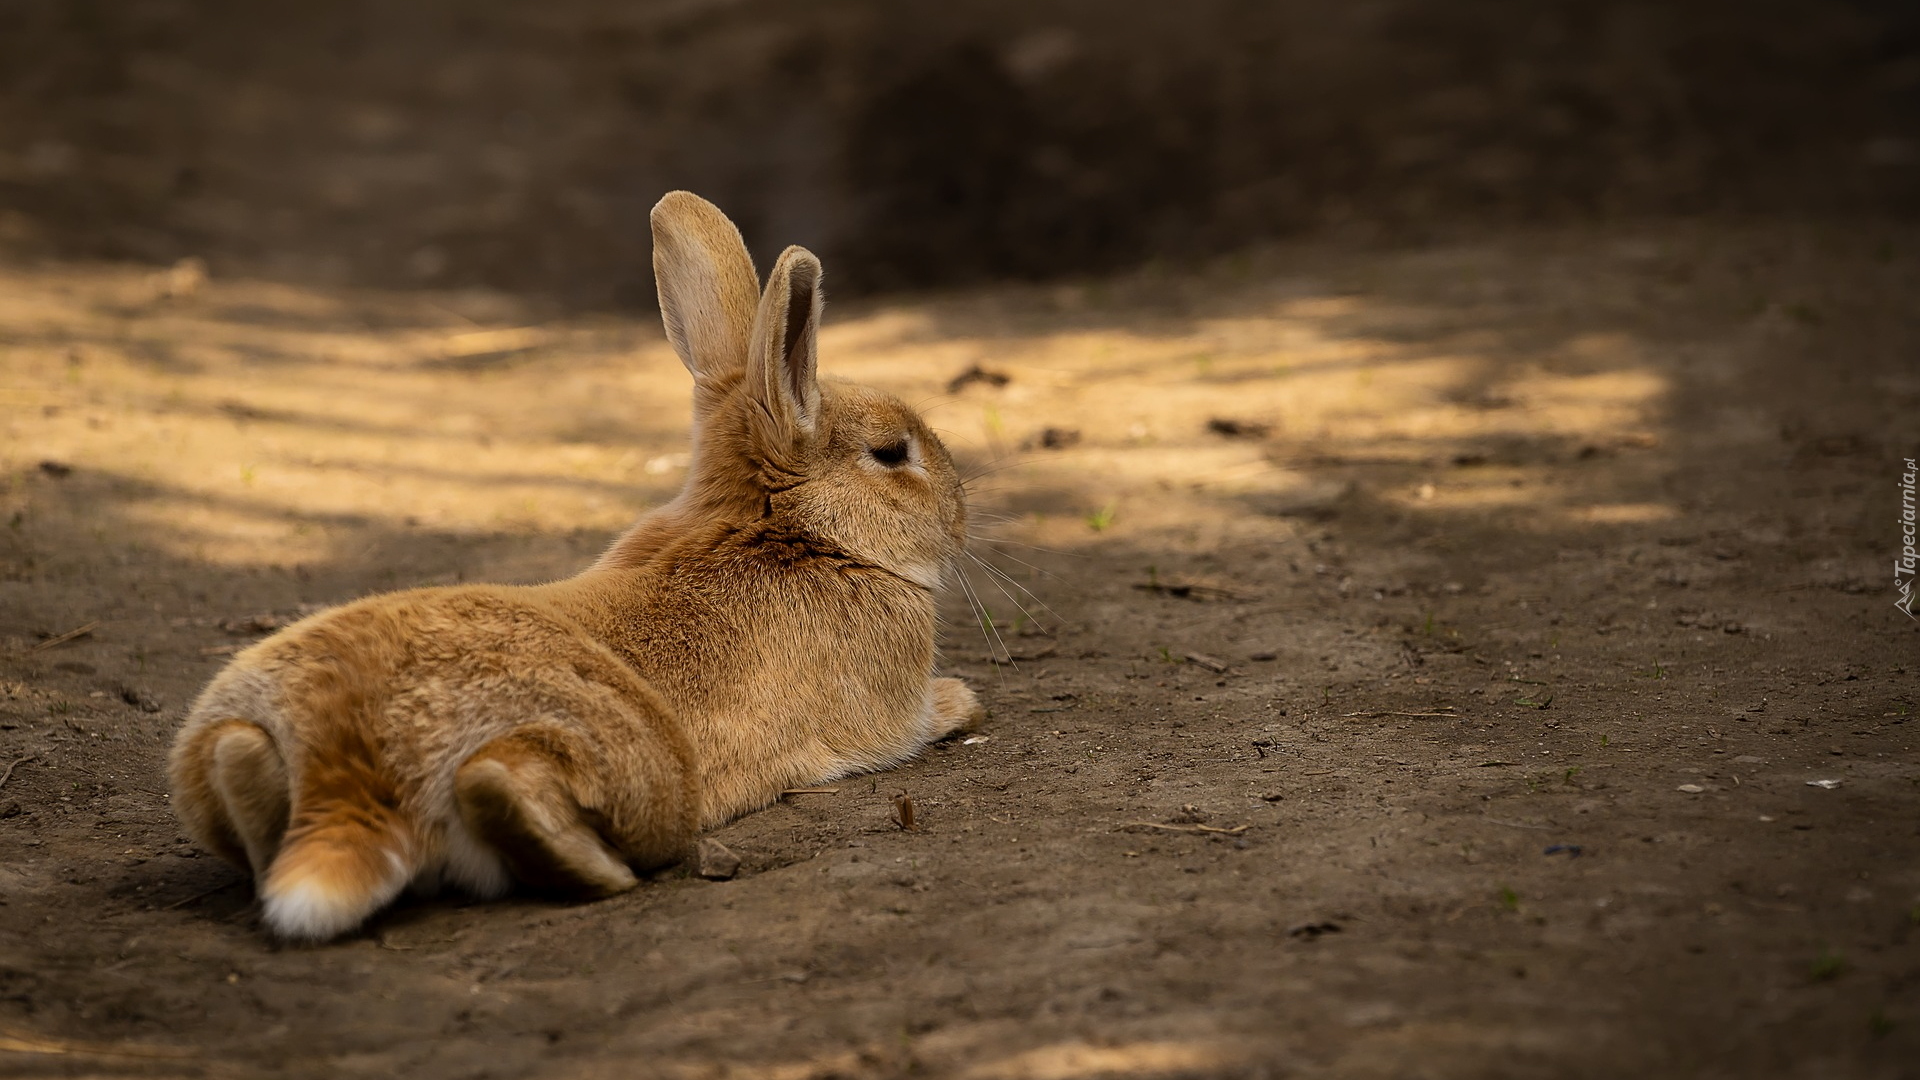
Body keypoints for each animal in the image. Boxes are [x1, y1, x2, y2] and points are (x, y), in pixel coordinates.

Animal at [167, 189, 983, 937]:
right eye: (891, 453)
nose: (960, 509)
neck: (786, 529)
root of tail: (349, 767)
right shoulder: (889, 711)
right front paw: (962, 702)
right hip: (642, 765)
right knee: (514, 787)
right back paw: (605, 867)